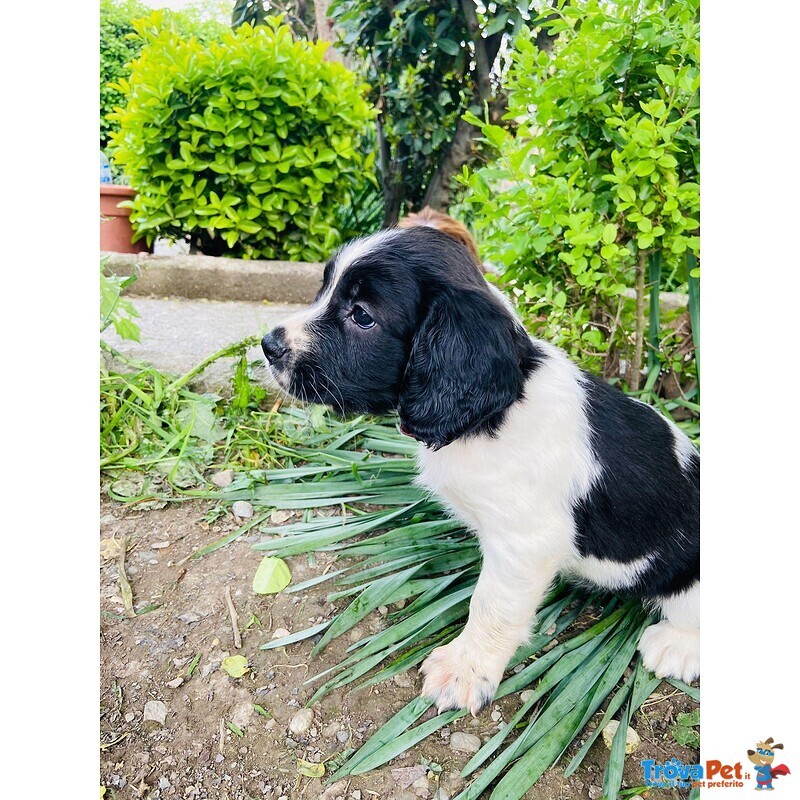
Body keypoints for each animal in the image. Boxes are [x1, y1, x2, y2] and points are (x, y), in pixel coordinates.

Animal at [262, 228, 700, 716]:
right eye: (323, 289)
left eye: (361, 316)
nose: (269, 345)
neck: (494, 414)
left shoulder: (524, 543)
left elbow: (491, 606)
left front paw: (465, 670)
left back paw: (676, 645)